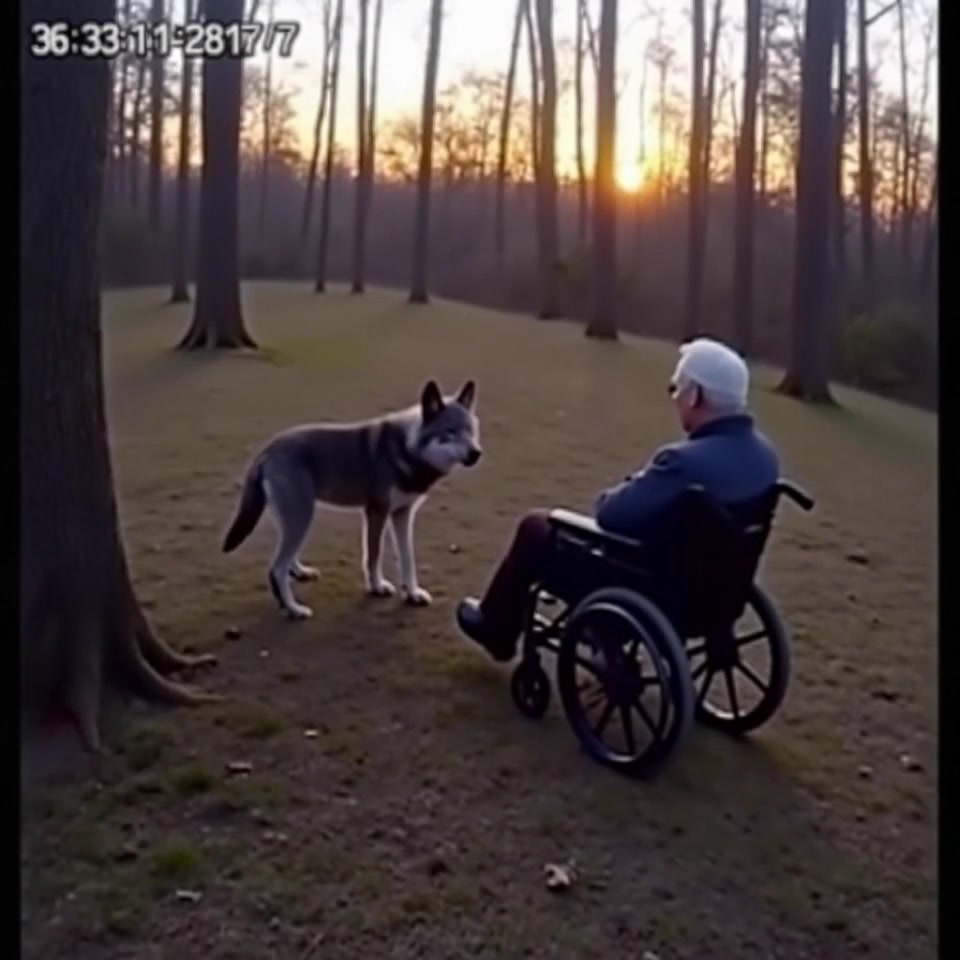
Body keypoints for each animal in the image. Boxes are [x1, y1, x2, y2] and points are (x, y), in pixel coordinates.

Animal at [221, 380, 482, 619]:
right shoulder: (377, 512)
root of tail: (268, 448)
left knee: (285, 560)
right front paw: (377, 587)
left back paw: (300, 573)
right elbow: (374, 556)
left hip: (295, 517)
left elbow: (407, 558)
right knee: (277, 568)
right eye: (450, 432)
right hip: (301, 517)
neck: (406, 448)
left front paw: (412, 593)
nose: (476, 453)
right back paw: (293, 609)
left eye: (471, 431)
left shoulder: (402, 514)